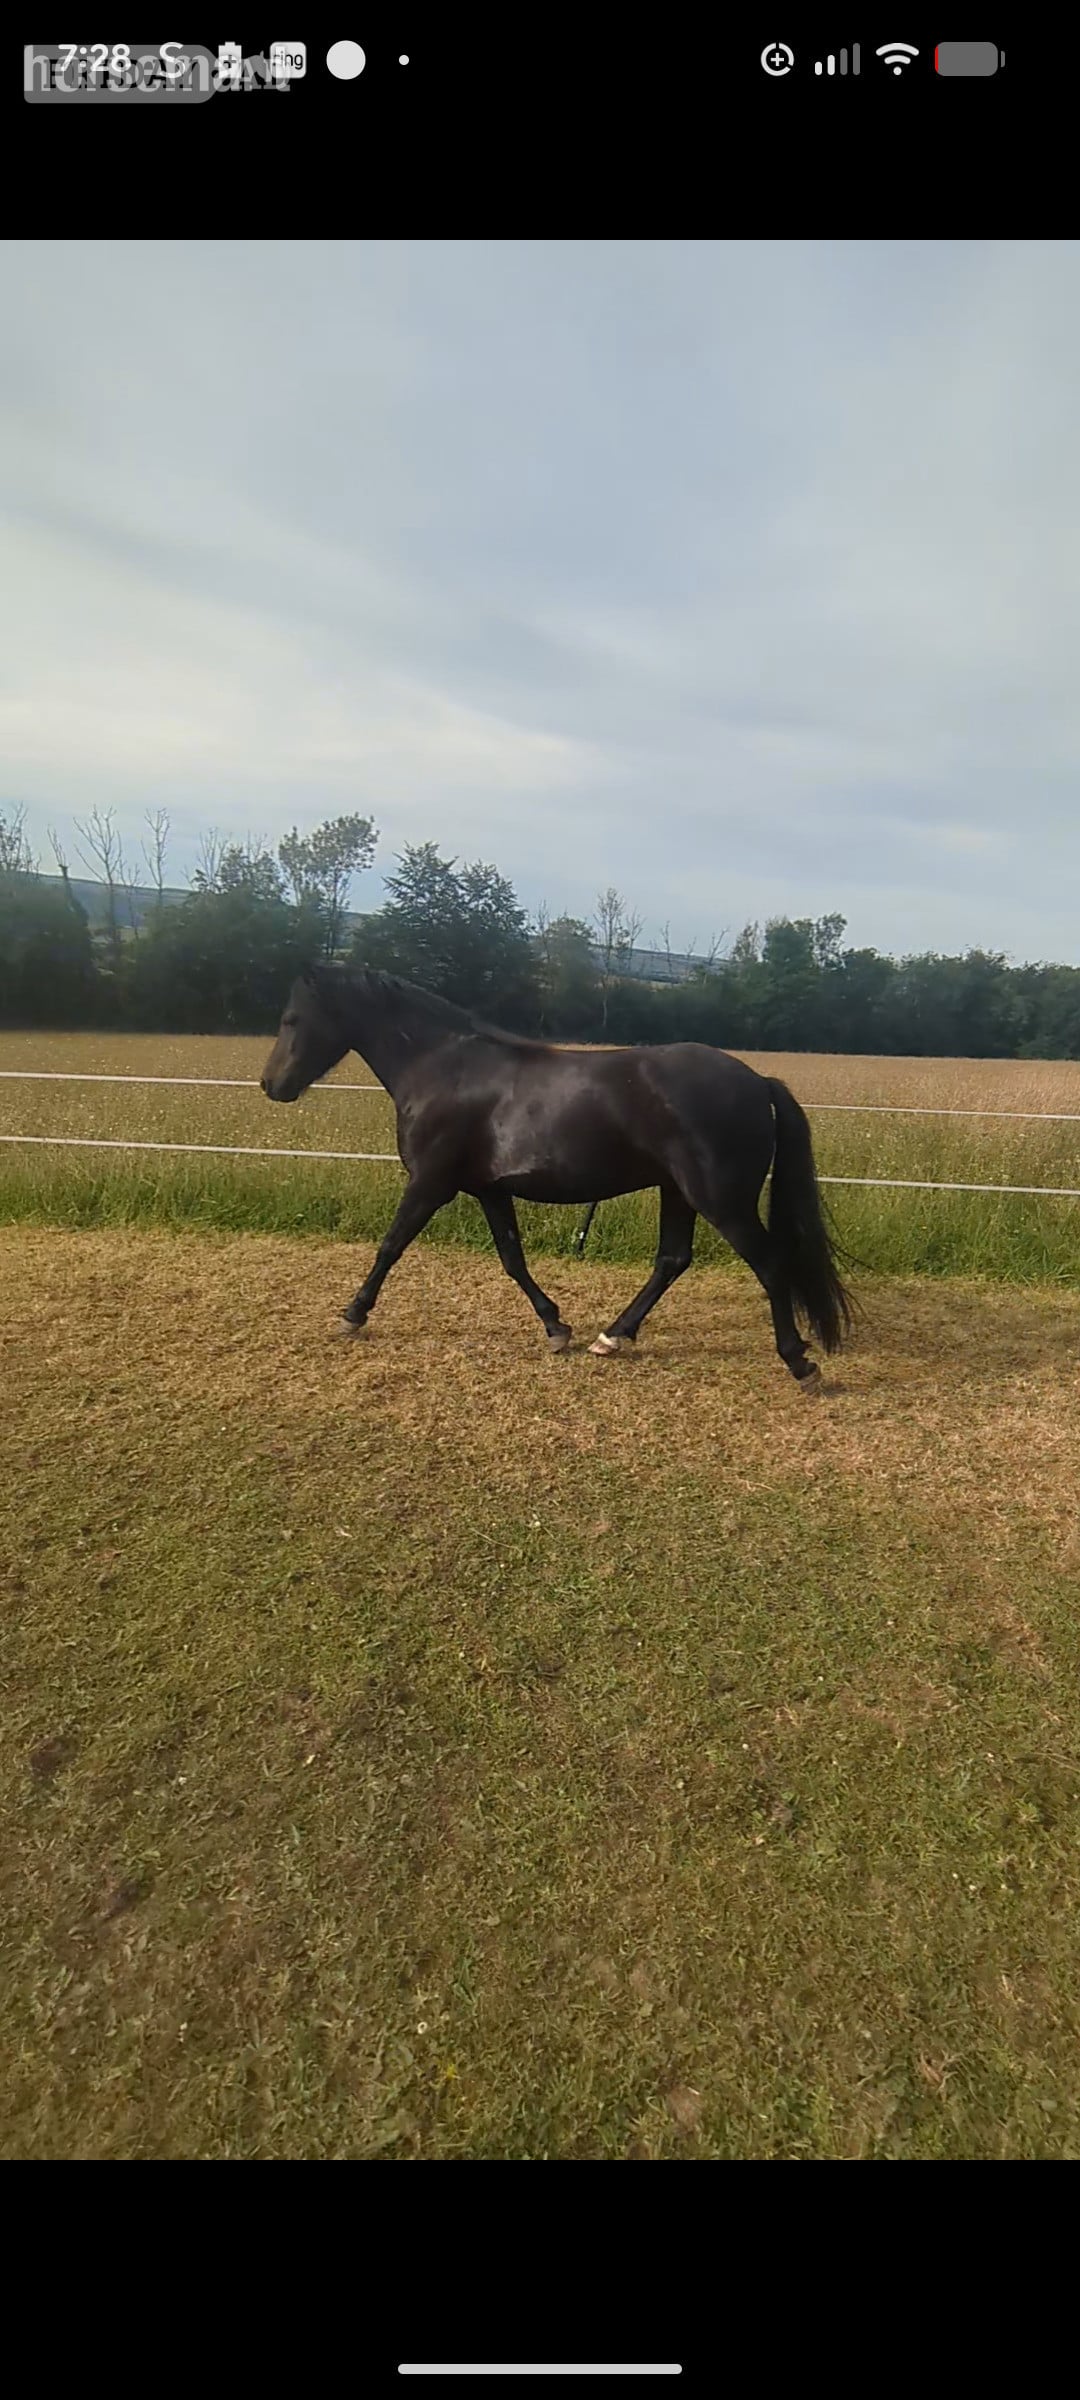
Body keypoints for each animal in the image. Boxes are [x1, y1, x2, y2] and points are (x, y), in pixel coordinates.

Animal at [260, 965, 853, 1390]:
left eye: (291, 1019)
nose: (271, 1085)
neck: (443, 1069)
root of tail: (757, 1081)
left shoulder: (430, 1184)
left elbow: (391, 1246)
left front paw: (353, 1315)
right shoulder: (489, 1190)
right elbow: (512, 1258)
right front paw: (556, 1328)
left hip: (720, 1199)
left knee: (770, 1264)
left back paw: (799, 1363)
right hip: (679, 1191)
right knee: (672, 1260)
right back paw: (612, 1336)